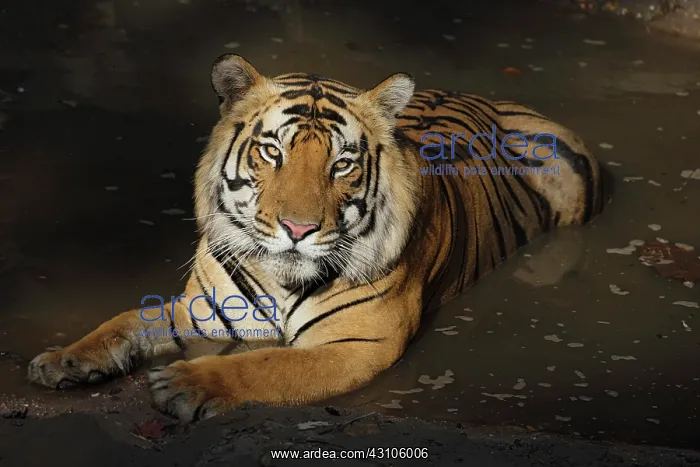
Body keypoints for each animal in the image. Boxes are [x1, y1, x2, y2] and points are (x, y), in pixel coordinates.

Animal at [27, 54, 608, 423]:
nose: (298, 230)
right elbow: (125, 322)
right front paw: (62, 361)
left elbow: (269, 363)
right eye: (272, 152)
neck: (280, 280)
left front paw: (187, 384)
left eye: (342, 164)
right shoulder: (203, 311)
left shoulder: (356, 344)